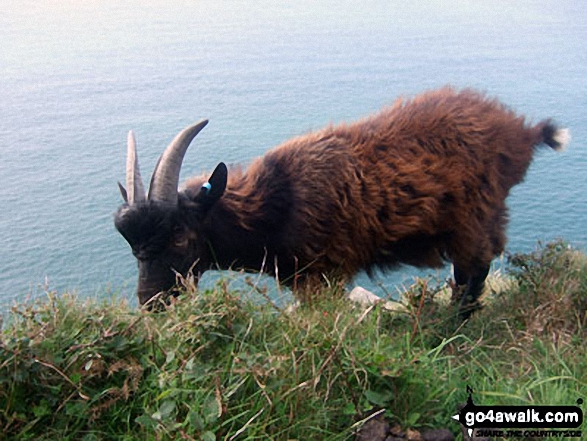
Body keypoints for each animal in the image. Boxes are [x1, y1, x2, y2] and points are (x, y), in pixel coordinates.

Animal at [115, 86, 568, 318]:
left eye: (179, 236)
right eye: (131, 246)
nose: (150, 303)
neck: (277, 203)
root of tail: (520, 132)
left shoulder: (322, 276)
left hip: (475, 217)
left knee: (472, 274)